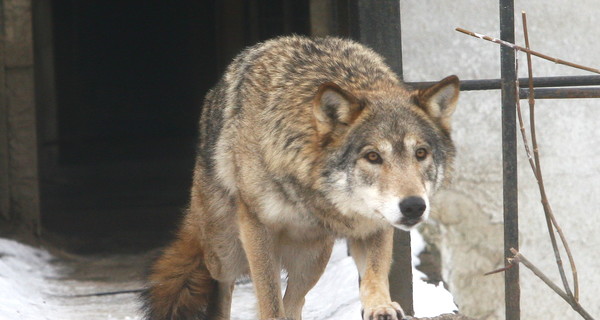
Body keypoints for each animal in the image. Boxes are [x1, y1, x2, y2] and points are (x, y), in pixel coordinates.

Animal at [143, 35, 462, 320]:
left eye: (420, 153)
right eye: (373, 156)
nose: (413, 206)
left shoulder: (373, 225)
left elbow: (375, 273)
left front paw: (380, 307)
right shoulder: (256, 227)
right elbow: (269, 299)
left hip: (313, 259)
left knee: (295, 302)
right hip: (225, 253)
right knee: (222, 289)